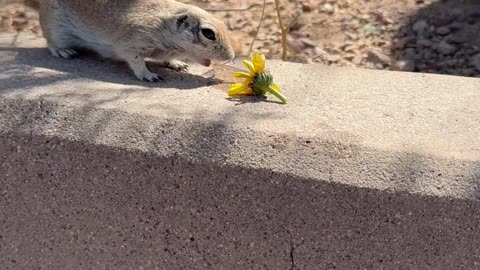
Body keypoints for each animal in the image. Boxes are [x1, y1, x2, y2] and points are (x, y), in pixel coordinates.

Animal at [35, 0, 234, 81]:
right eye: (208, 33)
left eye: (224, 24)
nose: (231, 57)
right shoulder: (133, 41)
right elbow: (135, 60)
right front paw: (149, 75)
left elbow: (168, 59)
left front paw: (177, 64)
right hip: (55, 30)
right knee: (51, 43)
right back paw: (64, 52)